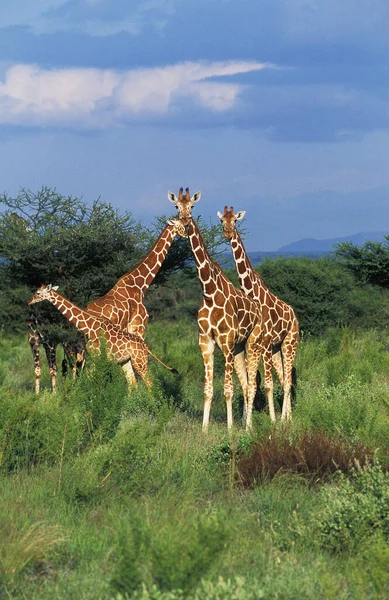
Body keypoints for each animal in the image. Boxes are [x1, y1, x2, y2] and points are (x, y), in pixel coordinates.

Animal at [28, 286, 177, 390]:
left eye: (38, 293)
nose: (29, 302)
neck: (89, 326)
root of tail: (146, 346)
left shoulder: (97, 356)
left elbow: (92, 378)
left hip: (139, 361)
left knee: (150, 383)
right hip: (126, 361)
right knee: (133, 383)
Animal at [167, 185, 264, 428]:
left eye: (192, 205)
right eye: (176, 205)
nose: (185, 219)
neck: (210, 292)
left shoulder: (226, 342)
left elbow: (228, 389)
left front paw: (229, 429)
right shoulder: (206, 343)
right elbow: (208, 390)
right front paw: (204, 429)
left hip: (252, 344)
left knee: (252, 384)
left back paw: (248, 426)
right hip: (239, 349)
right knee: (246, 384)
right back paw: (245, 423)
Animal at [217, 206, 298, 422]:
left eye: (236, 220)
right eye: (222, 221)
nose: (228, 233)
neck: (250, 291)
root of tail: (294, 315)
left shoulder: (265, 342)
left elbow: (266, 384)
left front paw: (272, 421)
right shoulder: (251, 345)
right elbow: (248, 382)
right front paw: (245, 418)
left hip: (289, 344)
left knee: (287, 380)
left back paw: (285, 419)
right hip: (277, 348)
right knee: (284, 378)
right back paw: (287, 416)